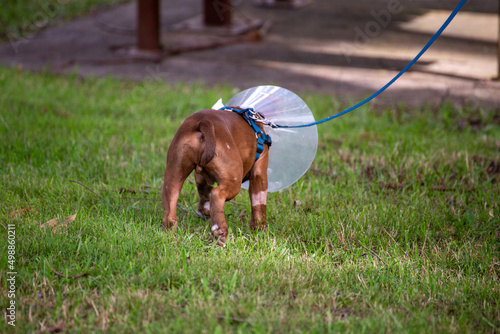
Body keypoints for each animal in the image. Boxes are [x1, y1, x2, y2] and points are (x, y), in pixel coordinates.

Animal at [161, 108, 270, 244]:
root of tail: (203, 122)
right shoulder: (259, 175)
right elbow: (259, 207)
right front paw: (260, 232)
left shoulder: (201, 177)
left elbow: (204, 193)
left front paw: (204, 211)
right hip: (234, 180)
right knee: (217, 195)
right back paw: (219, 232)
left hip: (174, 172)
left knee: (170, 203)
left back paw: (169, 231)